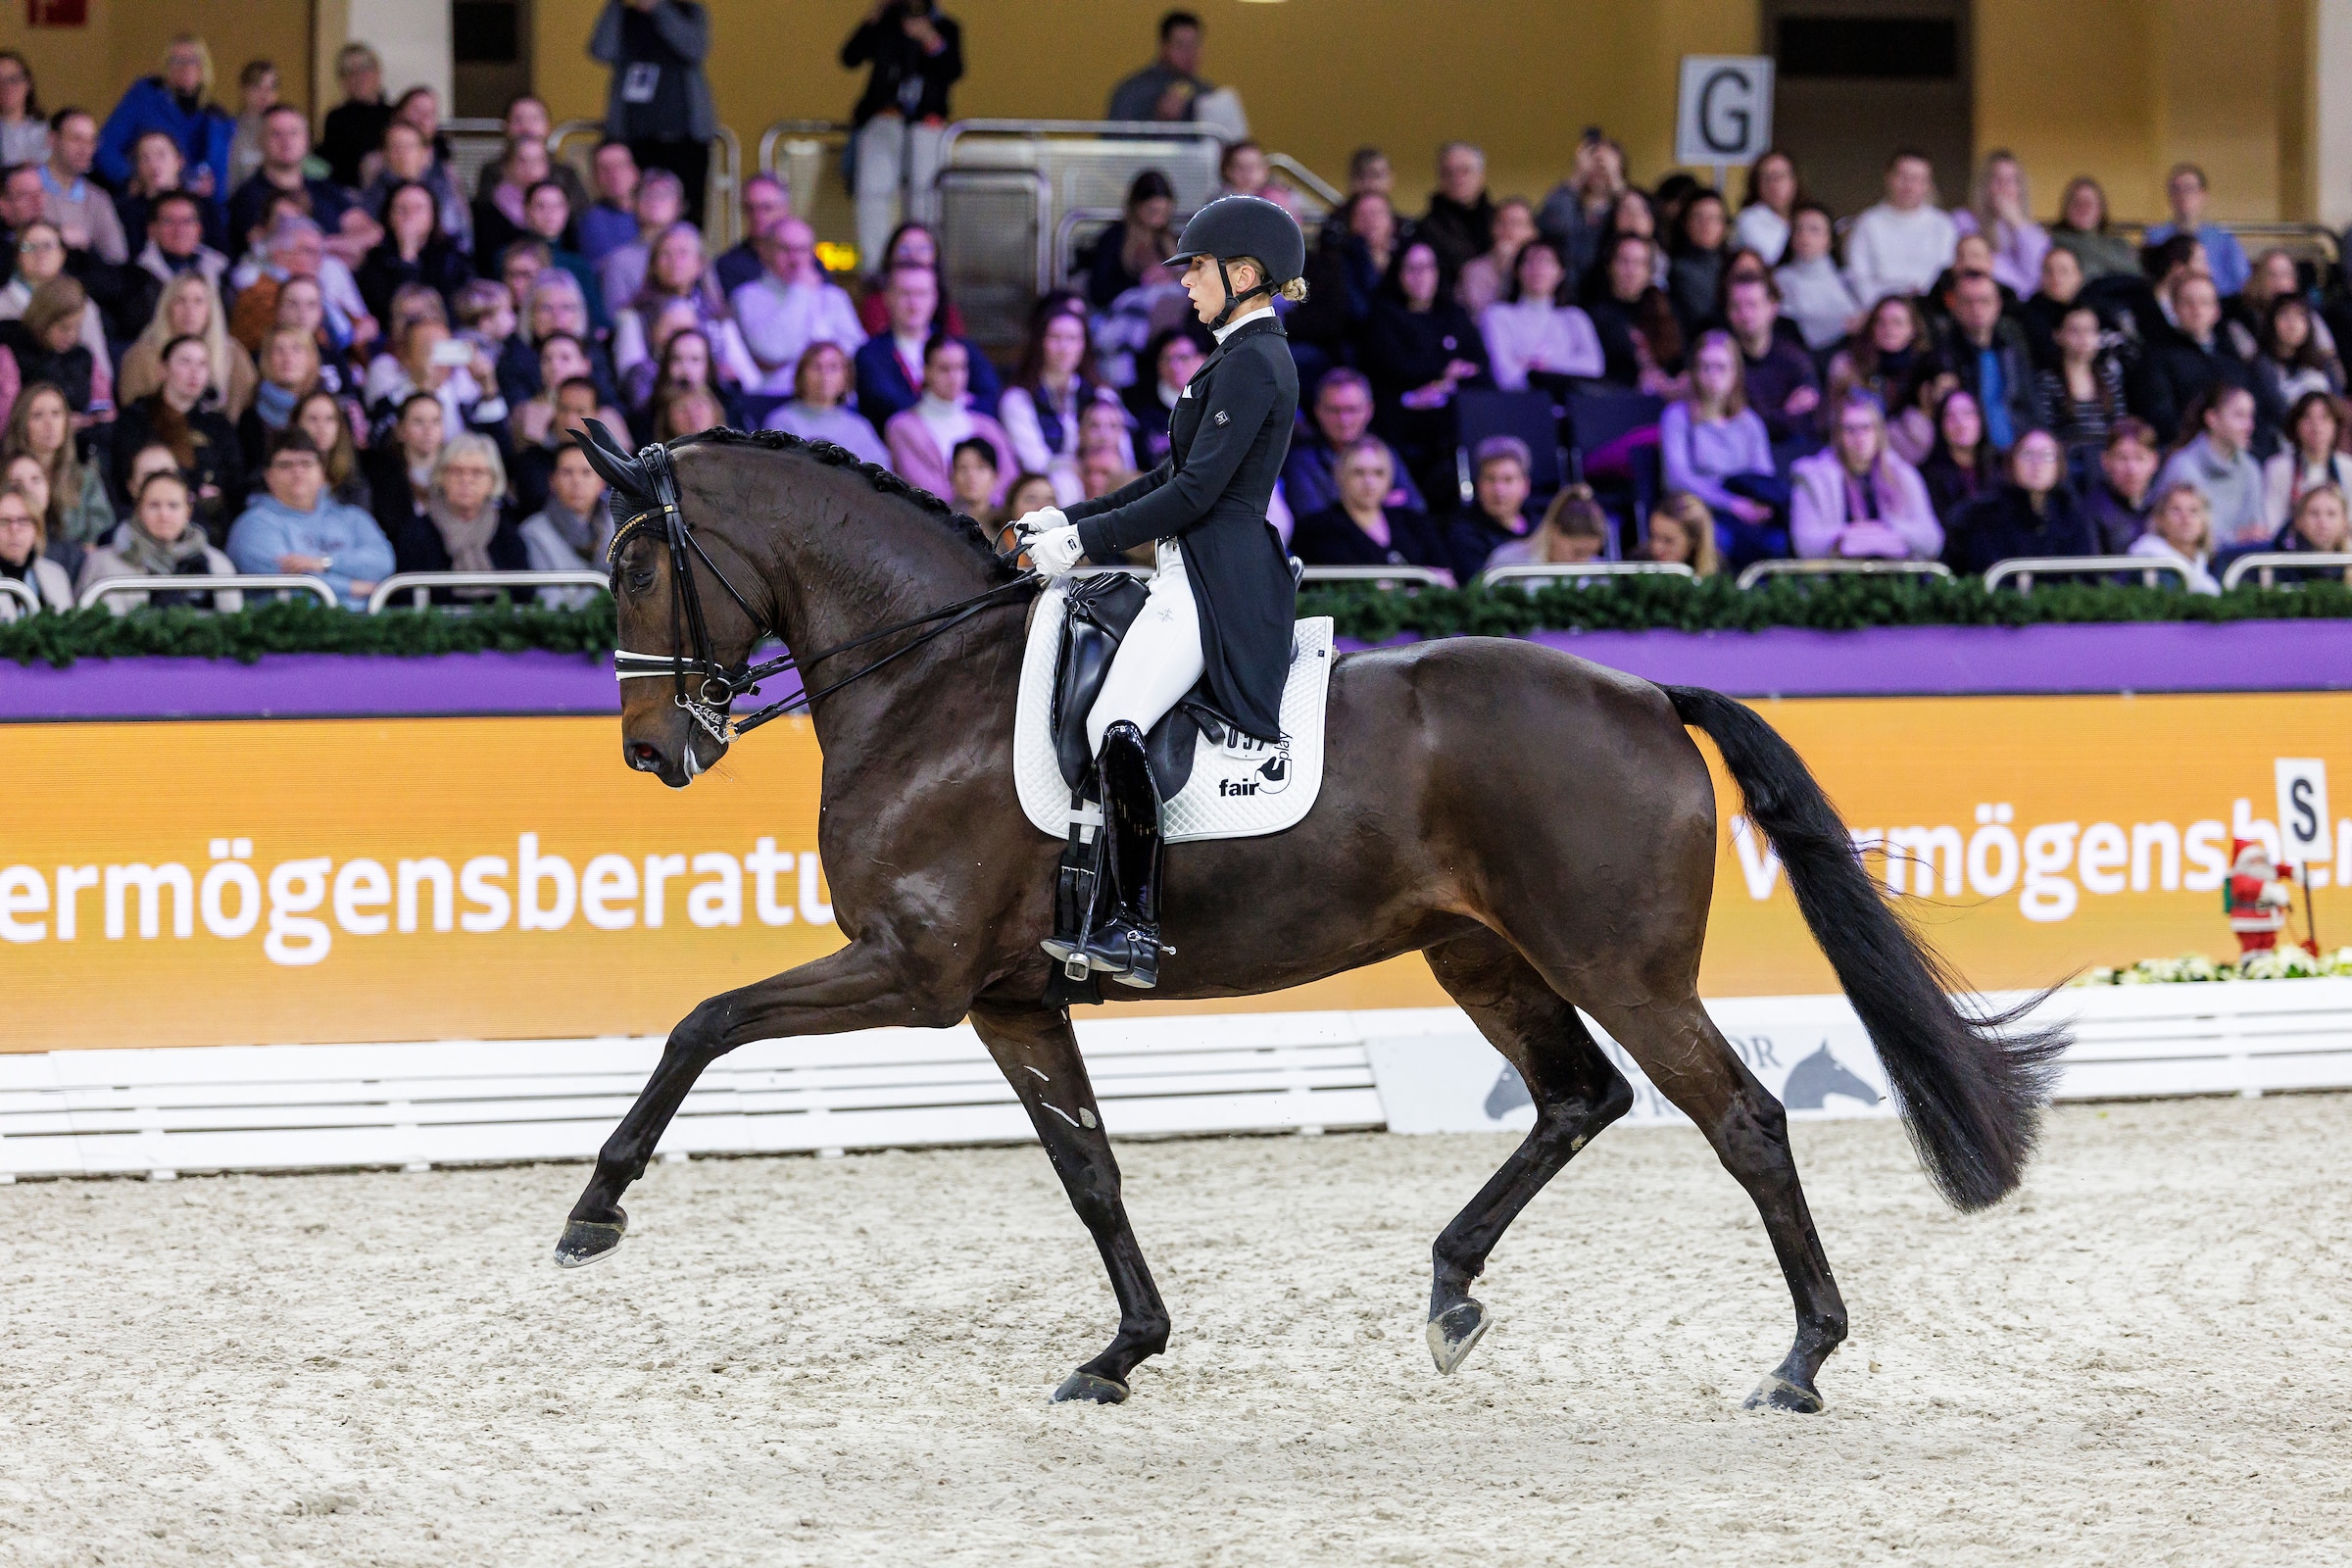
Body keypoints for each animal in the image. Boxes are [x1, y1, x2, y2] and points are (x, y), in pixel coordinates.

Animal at [550, 425, 2060, 1410]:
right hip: (1481, 954)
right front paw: (1125, 1351)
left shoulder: (913, 971)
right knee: (1578, 1098)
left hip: (1618, 964)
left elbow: (703, 1021)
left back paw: (1800, 1362)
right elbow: (1090, 1172)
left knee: (1740, 1120)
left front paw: (593, 1212)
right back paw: (1452, 1291)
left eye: (632, 566)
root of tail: (1644, 693)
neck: (931, 682)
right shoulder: (1012, 997)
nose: (648, 752)